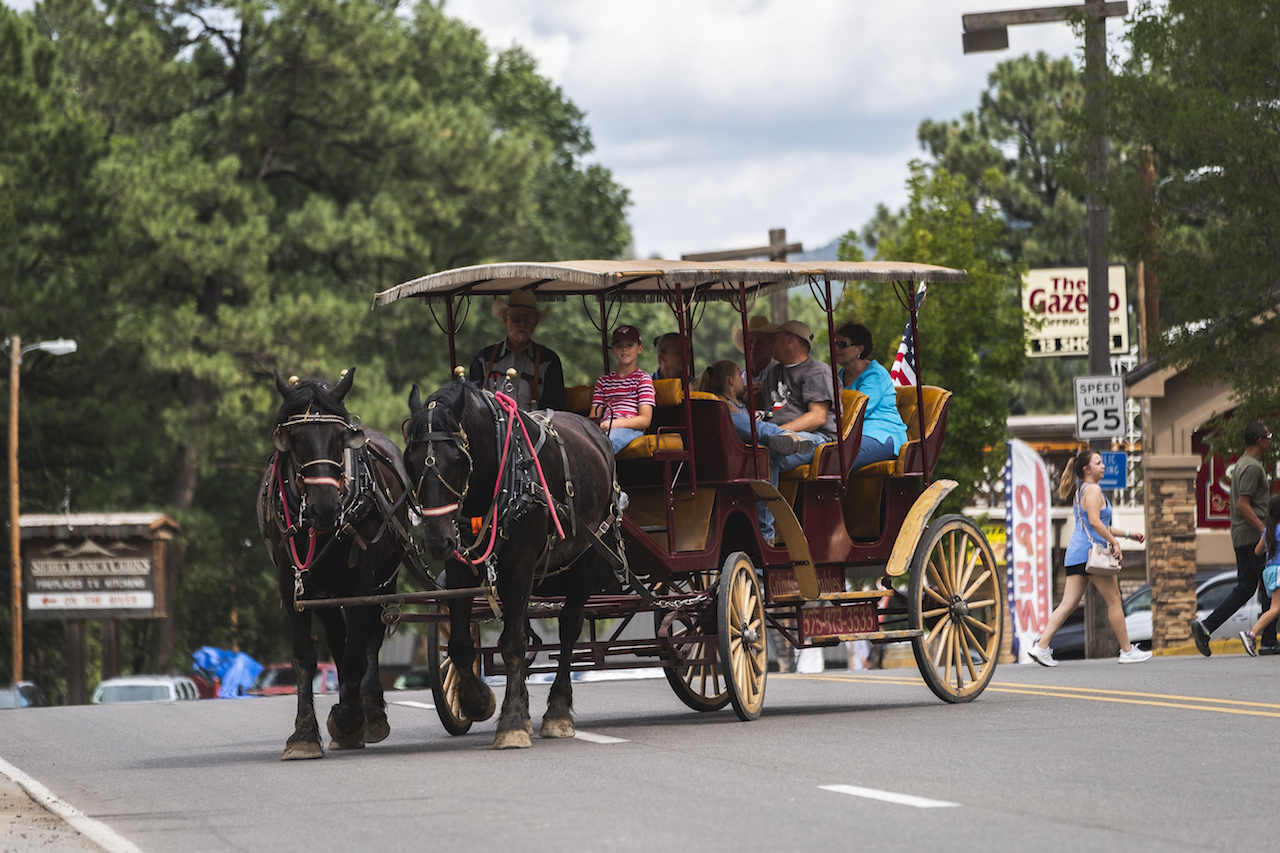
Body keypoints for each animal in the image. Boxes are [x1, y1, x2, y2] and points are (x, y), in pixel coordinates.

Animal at [252, 366, 407, 758]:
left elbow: (356, 656)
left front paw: (350, 720)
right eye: (293, 438)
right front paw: (305, 735)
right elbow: (306, 657)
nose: (324, 506)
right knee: (338, 639)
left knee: (369, 640)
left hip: (384, 579)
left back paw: (369, 712)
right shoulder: (294, 583)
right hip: (324, 589)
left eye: (340, 437)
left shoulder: (362, 584)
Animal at [401, 379, 616, 742]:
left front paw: (513, 721)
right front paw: (477, 701)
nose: (436, 540)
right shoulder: (461, 568)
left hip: (586, 557)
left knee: (569, 629)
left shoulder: (520, 565)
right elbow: (460, 645)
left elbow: (513, 643)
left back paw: (558, 711)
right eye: (412, 462)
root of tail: (596, 431)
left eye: (457, 460)